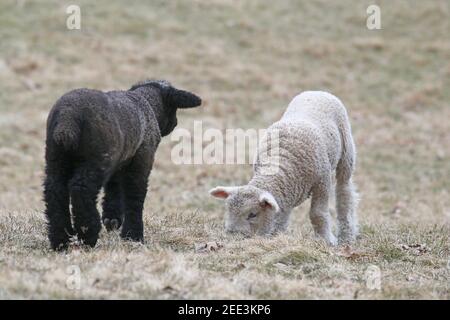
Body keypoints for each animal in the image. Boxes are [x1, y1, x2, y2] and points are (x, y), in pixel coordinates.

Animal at [44, 79, 202, 250]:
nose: (175, 123)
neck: (147, 103)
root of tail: (68, 118)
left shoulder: (119, 162)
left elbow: (114, 189)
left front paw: (112, 220)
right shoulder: (142, 160)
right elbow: (135, 196)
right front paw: (133, 235)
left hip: (56, 159)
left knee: (54, 191)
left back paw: (60, 240)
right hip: (96, 161)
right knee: (81, 190)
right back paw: (88, 235)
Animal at [210, 90, 358, 245]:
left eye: (253, 214)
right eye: (228, 210)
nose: (232, 237)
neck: (280, 163)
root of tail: (317, 92)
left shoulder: (322, 182)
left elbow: (317, 213)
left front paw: (326, 240)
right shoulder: (286, 189)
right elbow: (281, 214)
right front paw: (276, 235)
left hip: (346, 151)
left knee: (344, 190)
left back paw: (347, 234)